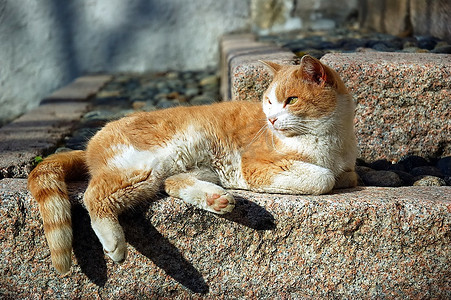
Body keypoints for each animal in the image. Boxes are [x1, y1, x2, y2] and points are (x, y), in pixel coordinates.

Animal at [29, 55, 360, 274]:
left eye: (291, 100)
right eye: (268, 101)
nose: (272, 120)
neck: (328, 139)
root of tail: (89, 144)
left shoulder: (348, 168)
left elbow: (346, 176)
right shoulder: (255, 166)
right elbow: (323, 179)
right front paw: (322, 175)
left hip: (178, 171)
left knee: (171, 183)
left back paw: (217, 199)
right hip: (143, 166)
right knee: (92, 195)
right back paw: (114, 243)